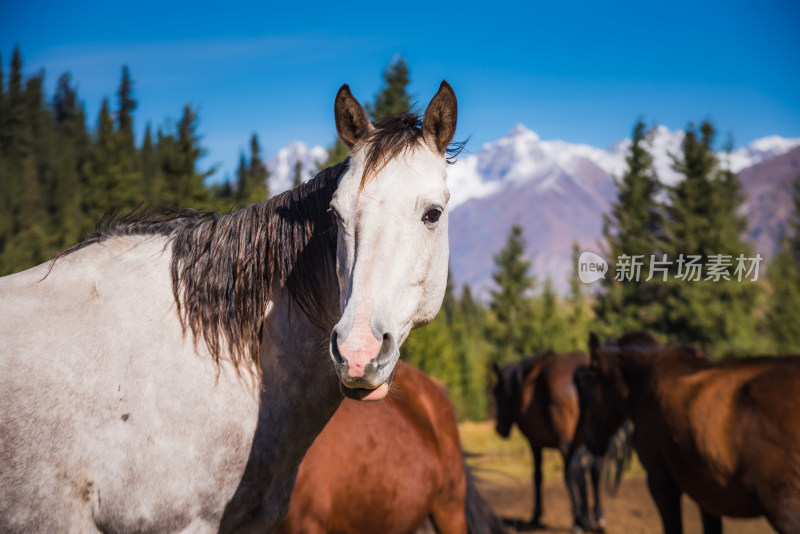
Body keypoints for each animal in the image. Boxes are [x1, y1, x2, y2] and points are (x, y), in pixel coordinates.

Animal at [490, 354, 604, 532]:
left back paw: (579, 520)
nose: (499, 429)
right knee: (595, 469)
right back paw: (597, 518)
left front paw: (536, 515)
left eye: (496, 392)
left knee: (572, 473)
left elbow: (537, 476)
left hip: (566, 443)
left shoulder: (534, 443)